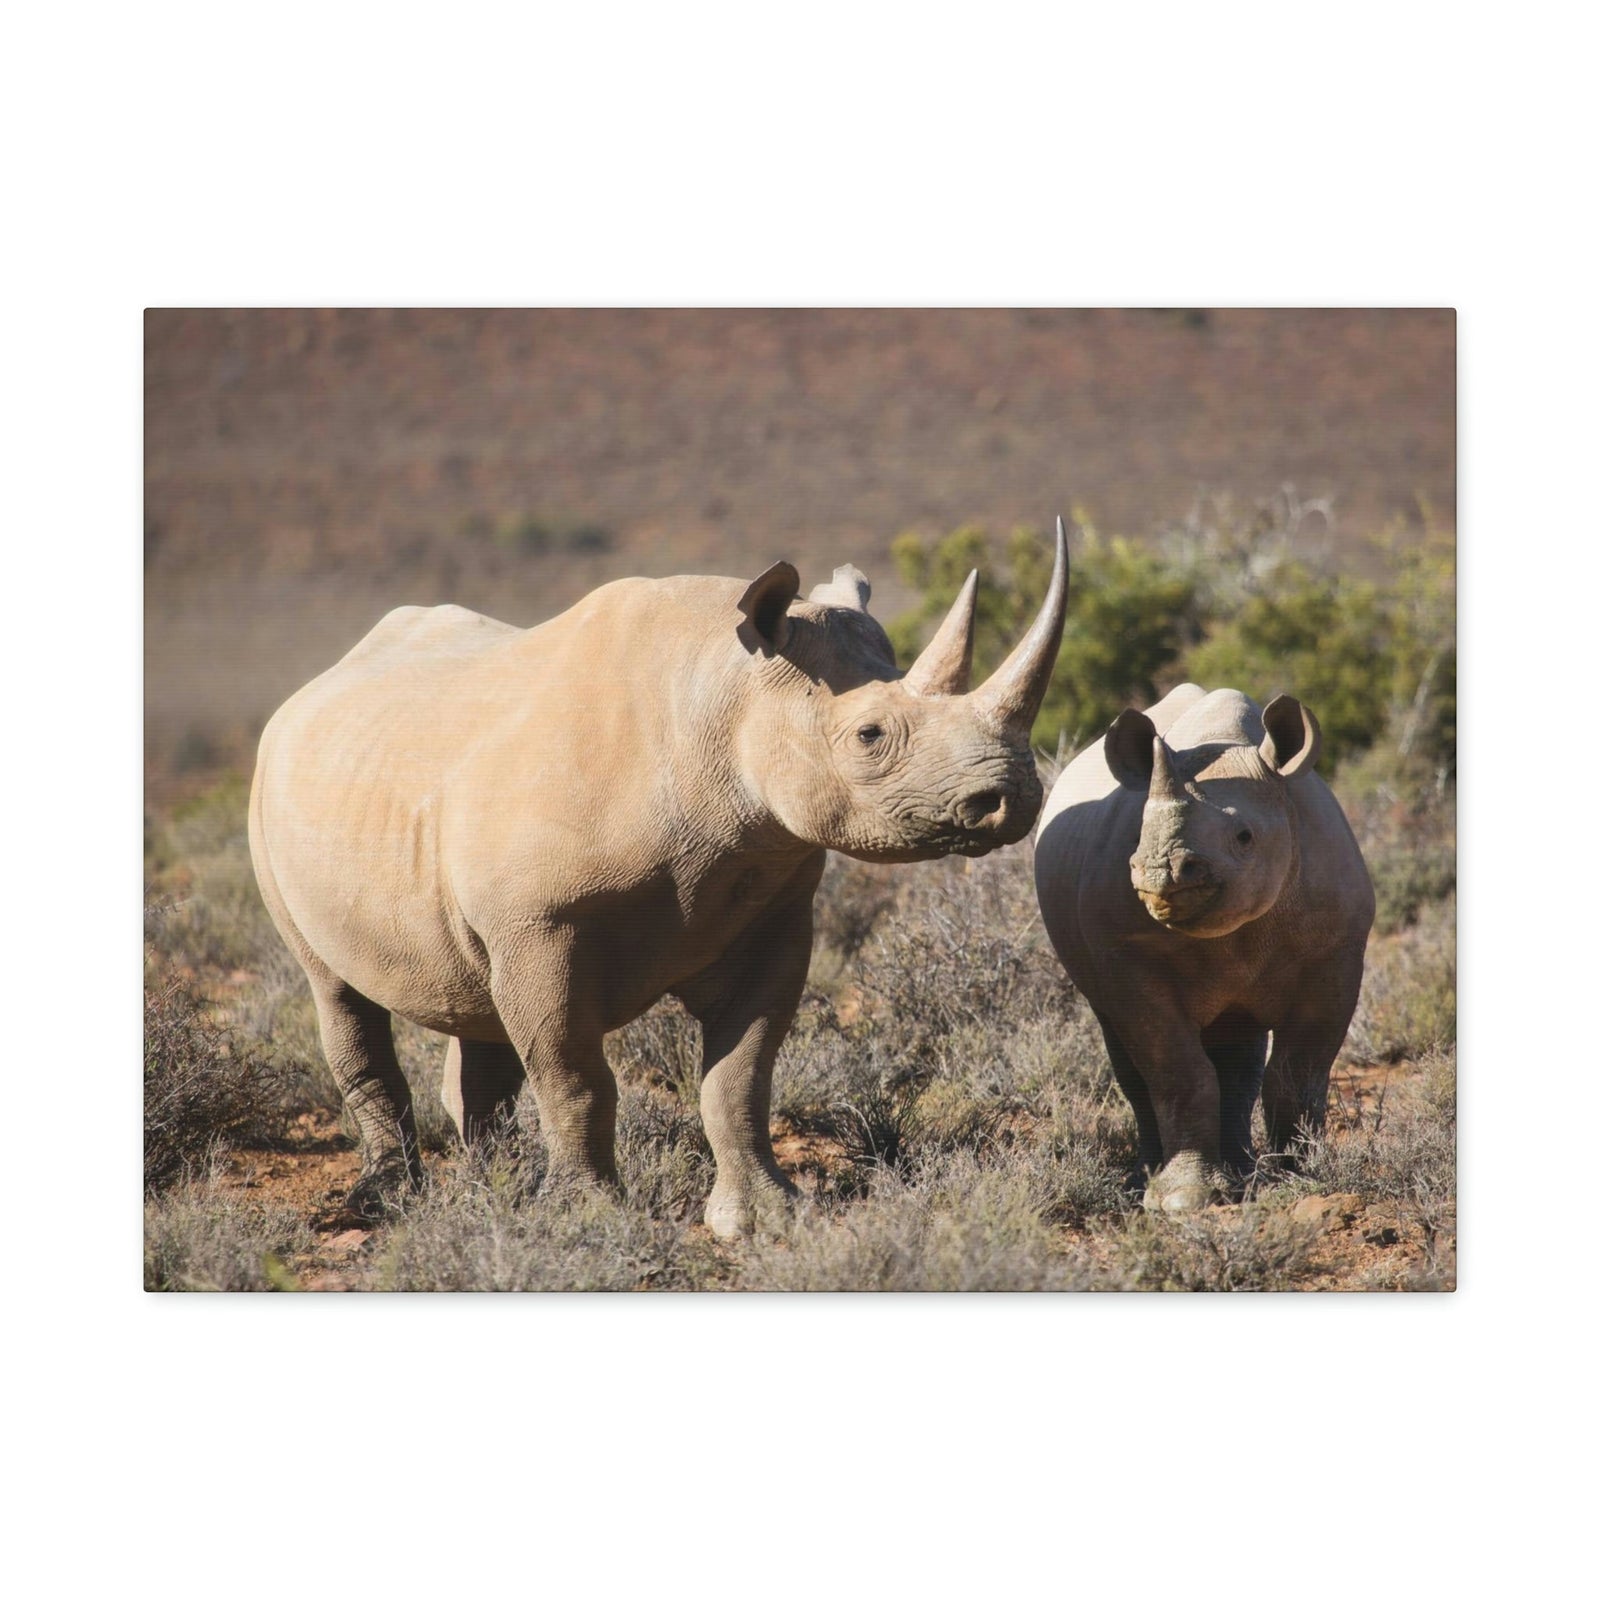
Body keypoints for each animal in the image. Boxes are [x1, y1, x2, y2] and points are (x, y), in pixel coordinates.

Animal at [249, 522, 1068, 1236]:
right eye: (869, 736)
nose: (1013, 797)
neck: (726, 699)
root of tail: (315, 686)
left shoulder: (772, 908)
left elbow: (741, 1074)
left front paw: (763, 1218)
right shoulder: (541, 926)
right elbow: (575, 1076)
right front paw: (587, 1217)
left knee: (474, 1006)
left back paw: (495, 1187)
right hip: (272, 795)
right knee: (337, 990)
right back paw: (389, 1200)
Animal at [1033, 683, 1375, 1211]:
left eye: (1244, 837)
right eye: (1139, 834)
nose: (1160, 870)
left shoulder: (1335, 953)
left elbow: (1299, 1071)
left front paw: (1301, 1178)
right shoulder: (1128, 958)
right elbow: (1177, 1071)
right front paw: (1184, 1200)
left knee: (1238, 1050)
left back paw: (1243, 1175)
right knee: (1129, 1051)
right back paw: (1150, 1183)